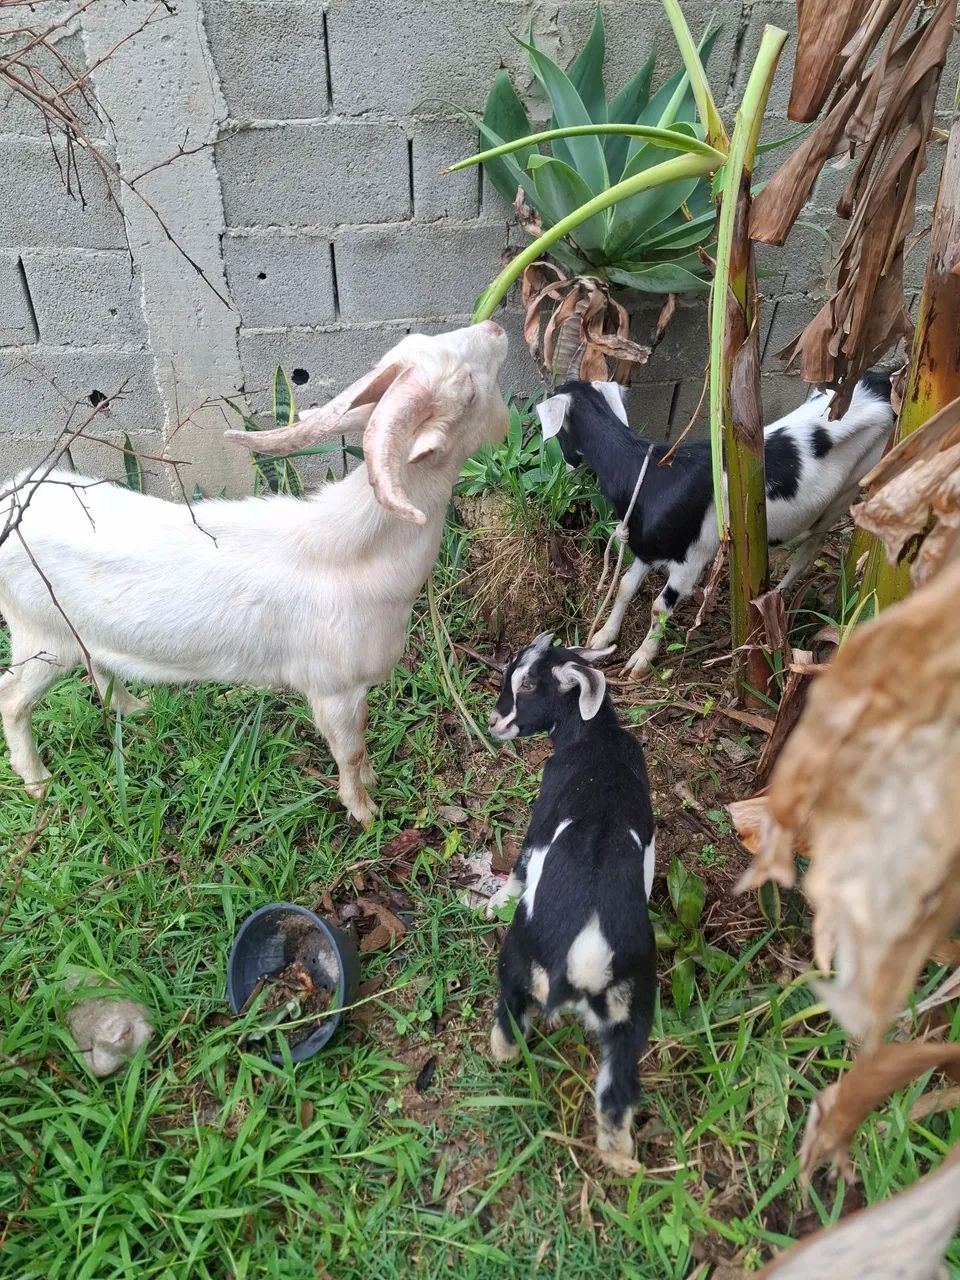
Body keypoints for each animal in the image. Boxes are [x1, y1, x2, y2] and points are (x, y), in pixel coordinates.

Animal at [0, 322, 509, 825]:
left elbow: (361, 738)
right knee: (12, 698)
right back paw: (38, 783)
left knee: (99, 665)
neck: (351, 554)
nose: (495, 326)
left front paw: (372, 780)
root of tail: (11, 498)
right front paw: (365, 812)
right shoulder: (333, 689)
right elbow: (348, 749)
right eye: (466, 390)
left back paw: (135, 711)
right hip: (41, 638)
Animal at [486, 631, 656, 1156]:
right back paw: (621, 1158)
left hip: (518, 955)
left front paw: (492, 901)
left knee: (508, 1014)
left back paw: (501, 1053)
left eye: (524, 684)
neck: (596, 739)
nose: (493, 721)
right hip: (632, 1011)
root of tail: (580, 961)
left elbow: (522, 864)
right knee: (616, 1094)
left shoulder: (540, 821)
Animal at [536, 374, 895, 676]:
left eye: (558, 433)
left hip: (854, 485)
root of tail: (883, 383)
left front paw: (640, 660)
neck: (651, 475)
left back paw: (777, 598)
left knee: (811, 549)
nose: (567, 467)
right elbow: (625, 586)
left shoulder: (690, 560)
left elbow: (658, 608)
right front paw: (602, 636)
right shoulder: (649, 546)